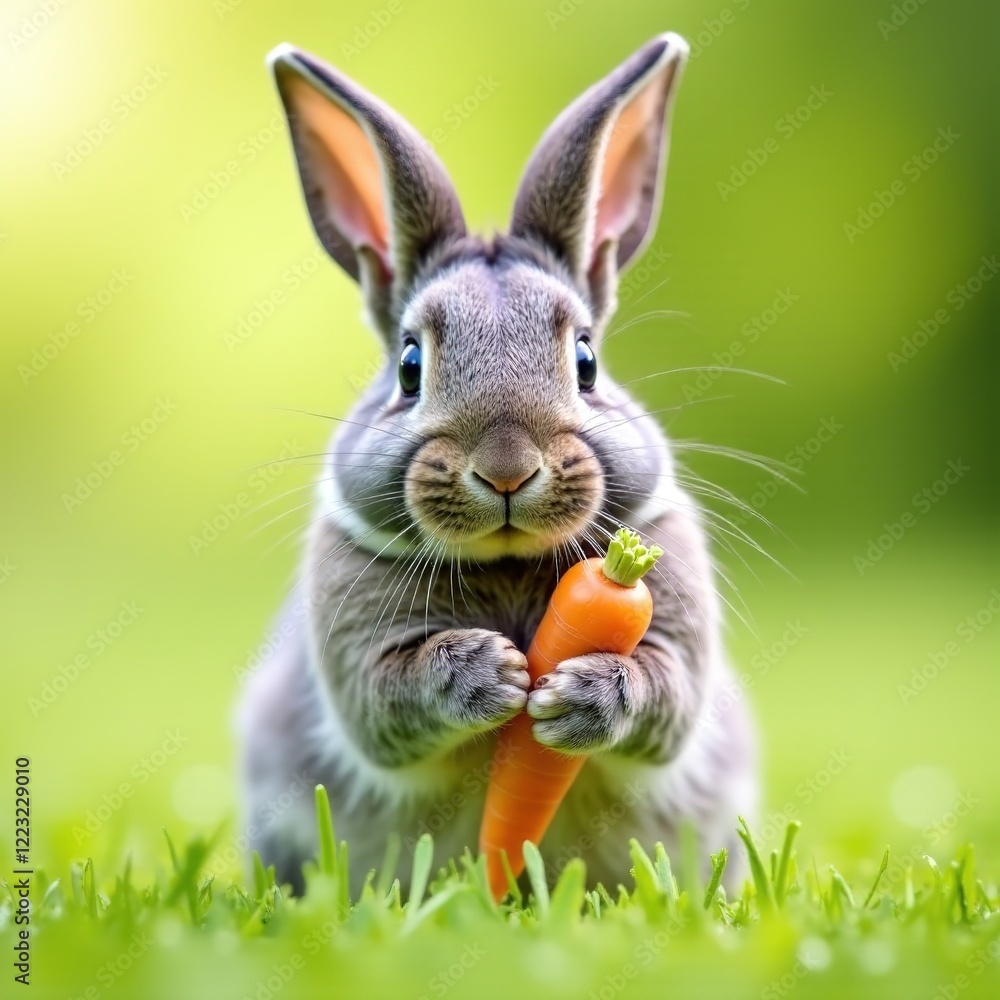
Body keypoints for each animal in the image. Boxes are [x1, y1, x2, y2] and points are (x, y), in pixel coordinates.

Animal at [238, 32, 756, 897]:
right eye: (410, 366)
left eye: (586, 359)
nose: (507, 469)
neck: (510, 567)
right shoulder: (357, 658)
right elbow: (390, 694)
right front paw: (491, 676)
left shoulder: (677, 636)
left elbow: (663, 690)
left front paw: (580, 695)